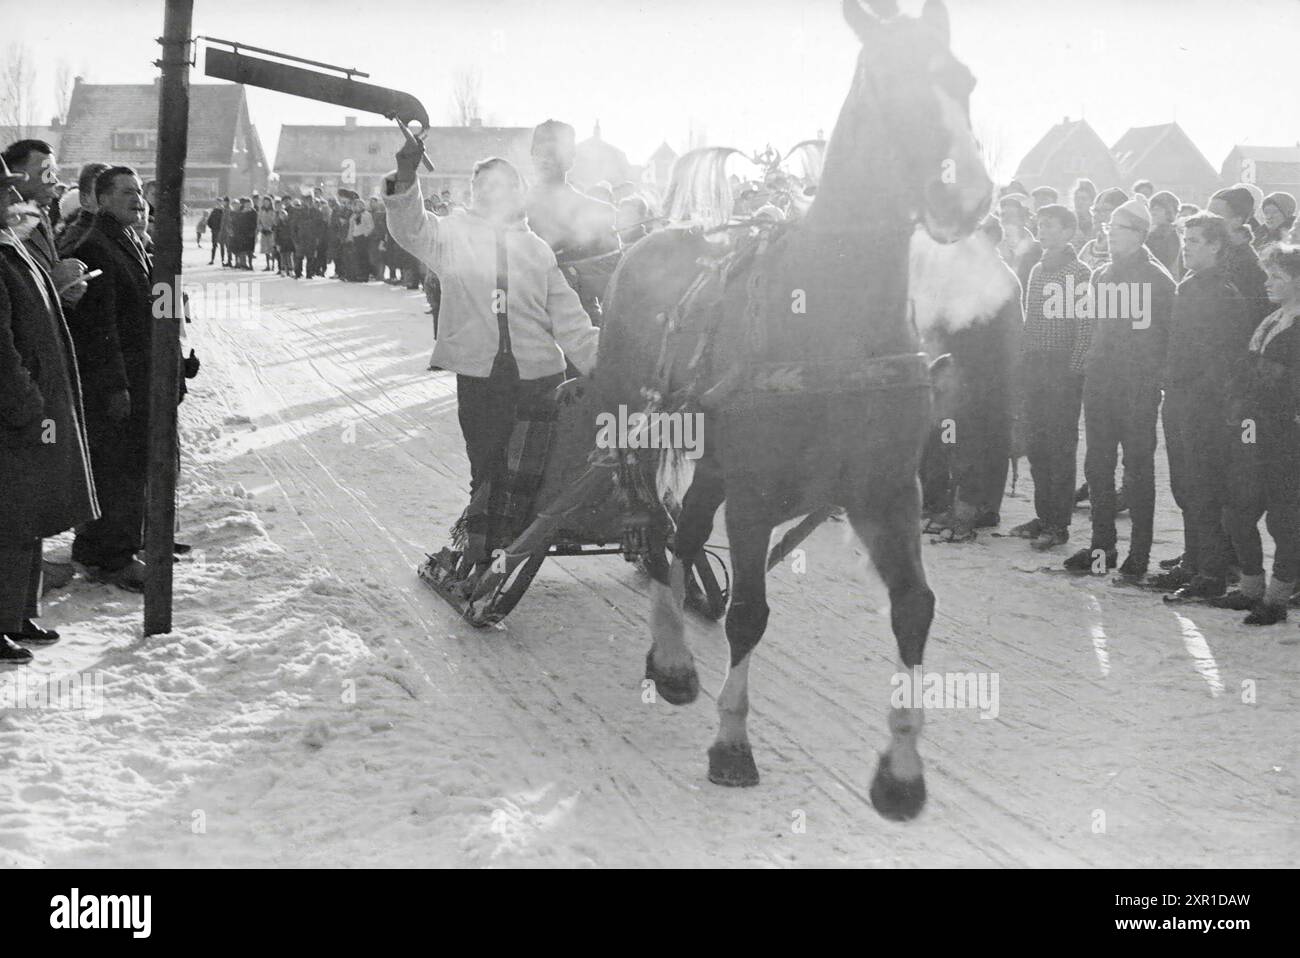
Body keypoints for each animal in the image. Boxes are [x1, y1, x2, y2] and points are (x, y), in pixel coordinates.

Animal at [592, 1, 993, 821]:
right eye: (887, 82)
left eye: (964, 81)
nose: (967, 197)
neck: (834, 320)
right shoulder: (754, 496)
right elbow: (750, 612)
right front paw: (731, 741)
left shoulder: (887, 493)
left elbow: (915, 607)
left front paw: (902, 770)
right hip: (640, 429)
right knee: (651, 525)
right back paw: (672, 655)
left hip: (712, 459)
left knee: (682, 533)